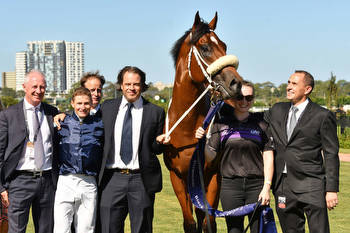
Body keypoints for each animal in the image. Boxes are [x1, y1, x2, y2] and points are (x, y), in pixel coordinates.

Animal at [165, 11, 243, 232]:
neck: (187, 128)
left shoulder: (212, 175)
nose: (236, 83)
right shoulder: (177, 178)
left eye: (224, 45)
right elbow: (190, 223)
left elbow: (209, 222)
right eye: (205, 47)